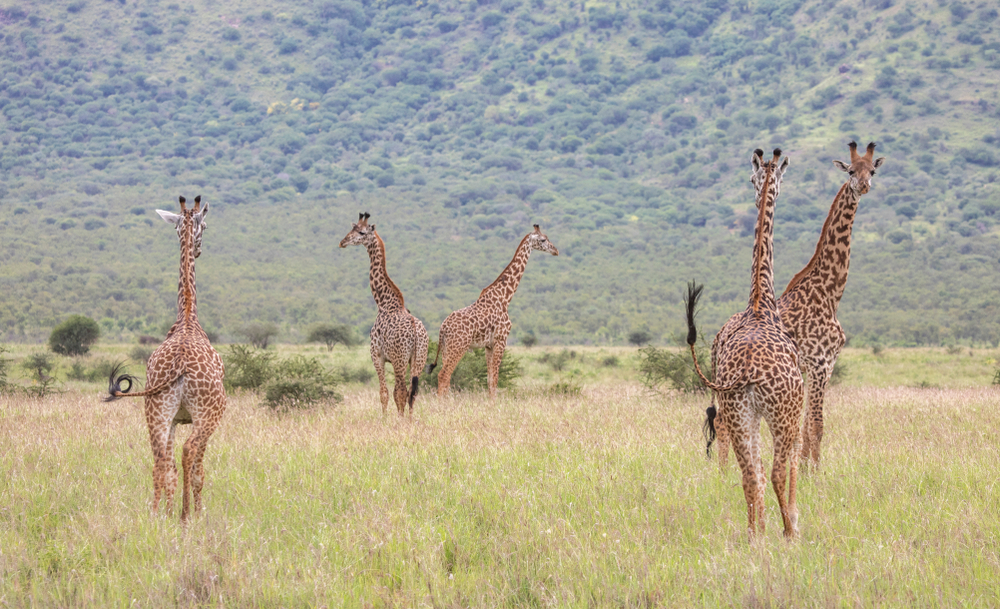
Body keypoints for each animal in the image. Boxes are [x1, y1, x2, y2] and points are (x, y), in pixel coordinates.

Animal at [107, 196, 229, 524]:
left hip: (155, 411)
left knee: (161, 460)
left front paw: (167, 511)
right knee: (188, 453)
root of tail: (181, 367)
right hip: (208, 414)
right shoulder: (198, 418)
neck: (187, 317)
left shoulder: (173, 418)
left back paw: (155, 515)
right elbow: (198, 469)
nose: (199, 249)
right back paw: (186, 515)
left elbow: (168, 467)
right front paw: (195, 513)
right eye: (205, 226)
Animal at [340, 211, 430, 416]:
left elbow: (384, 393)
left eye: (361, 232)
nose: (342, 242)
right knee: (412, 393)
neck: (383, 303)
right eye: (352, 228)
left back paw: (400, 420)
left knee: (402, 391)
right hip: (418, 359)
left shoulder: (376, 355)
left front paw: (383, 419)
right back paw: (409, 420)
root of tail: (416, 332)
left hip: (399, 359)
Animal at [428, 223, 560, 400]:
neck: (505, 297)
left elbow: (490, 379)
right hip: (459, 346)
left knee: (445, 377)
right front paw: (494, 403)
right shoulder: (501, 339)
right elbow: (495, 378)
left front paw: (491, 402)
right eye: (543, 239)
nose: (556, 251)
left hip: (446, 348)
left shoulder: (488, 345)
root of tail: (442, 328)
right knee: (444, 375)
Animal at [688, 150, 804, 540]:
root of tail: (748, 372)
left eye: (755, 180)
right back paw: (788, 533)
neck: (760, 303)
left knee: (749, 475)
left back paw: (756, 536)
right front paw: (795, 521)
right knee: (775, 471)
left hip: (739, 414)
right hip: (780, 414)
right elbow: (793, 463)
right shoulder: (796, 410)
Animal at [716, 141, 888, 466]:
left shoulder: (819, 368)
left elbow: (806, 427)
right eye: (850, 170)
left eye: (872, 171)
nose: (863, 185)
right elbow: (816, 426)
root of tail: (718, 335)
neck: (829, 292)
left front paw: (807, 468)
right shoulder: (821, 363)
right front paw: (815, 471)